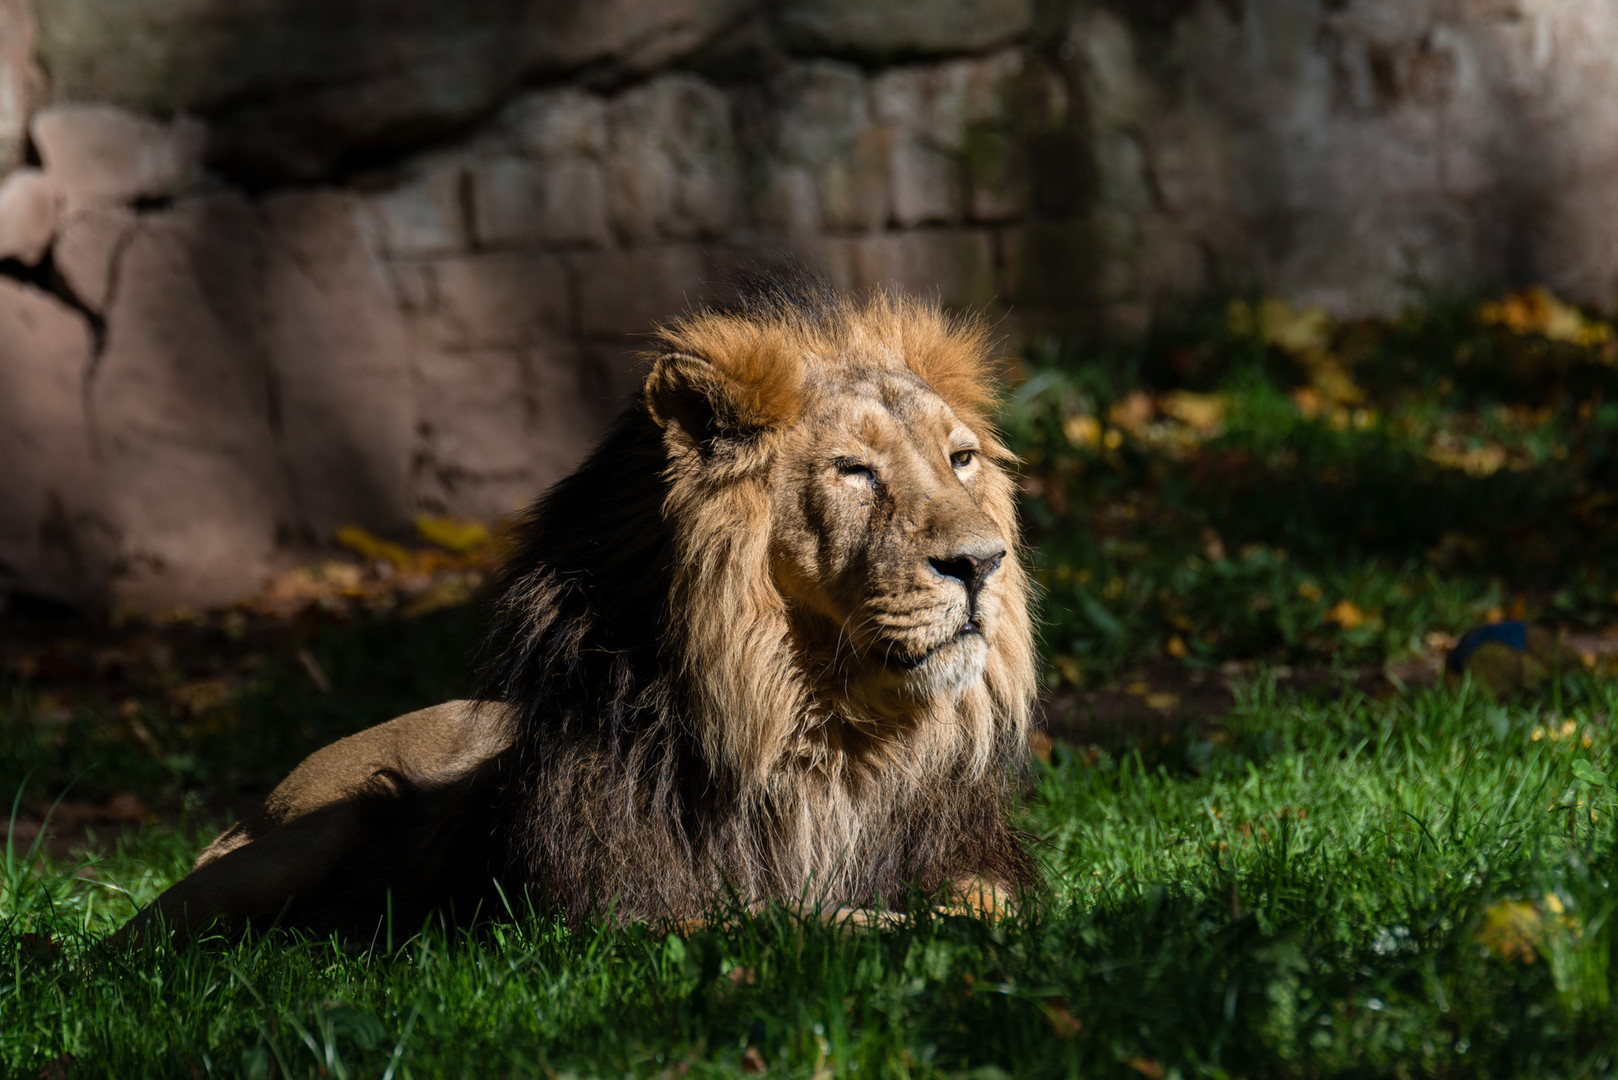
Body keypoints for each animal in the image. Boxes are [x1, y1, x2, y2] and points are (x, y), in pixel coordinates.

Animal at [119, 278, 1041, 945]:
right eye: (855, 472)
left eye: (959, 460)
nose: (981, 564)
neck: (816, 729)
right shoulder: (616, 915)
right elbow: (789, 918)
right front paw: (895, 927)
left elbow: (996, 905)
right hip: (283, 848)